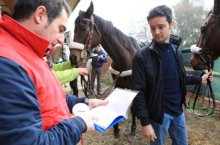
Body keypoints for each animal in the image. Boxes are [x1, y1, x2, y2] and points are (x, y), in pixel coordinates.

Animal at [71, 2, 142, 138]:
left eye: (83, 28)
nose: (72, 58)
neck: (125, 59)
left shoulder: (134, 86)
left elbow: (134, 106)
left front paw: (133, 129)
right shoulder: (118, 84)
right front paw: (116, 128)